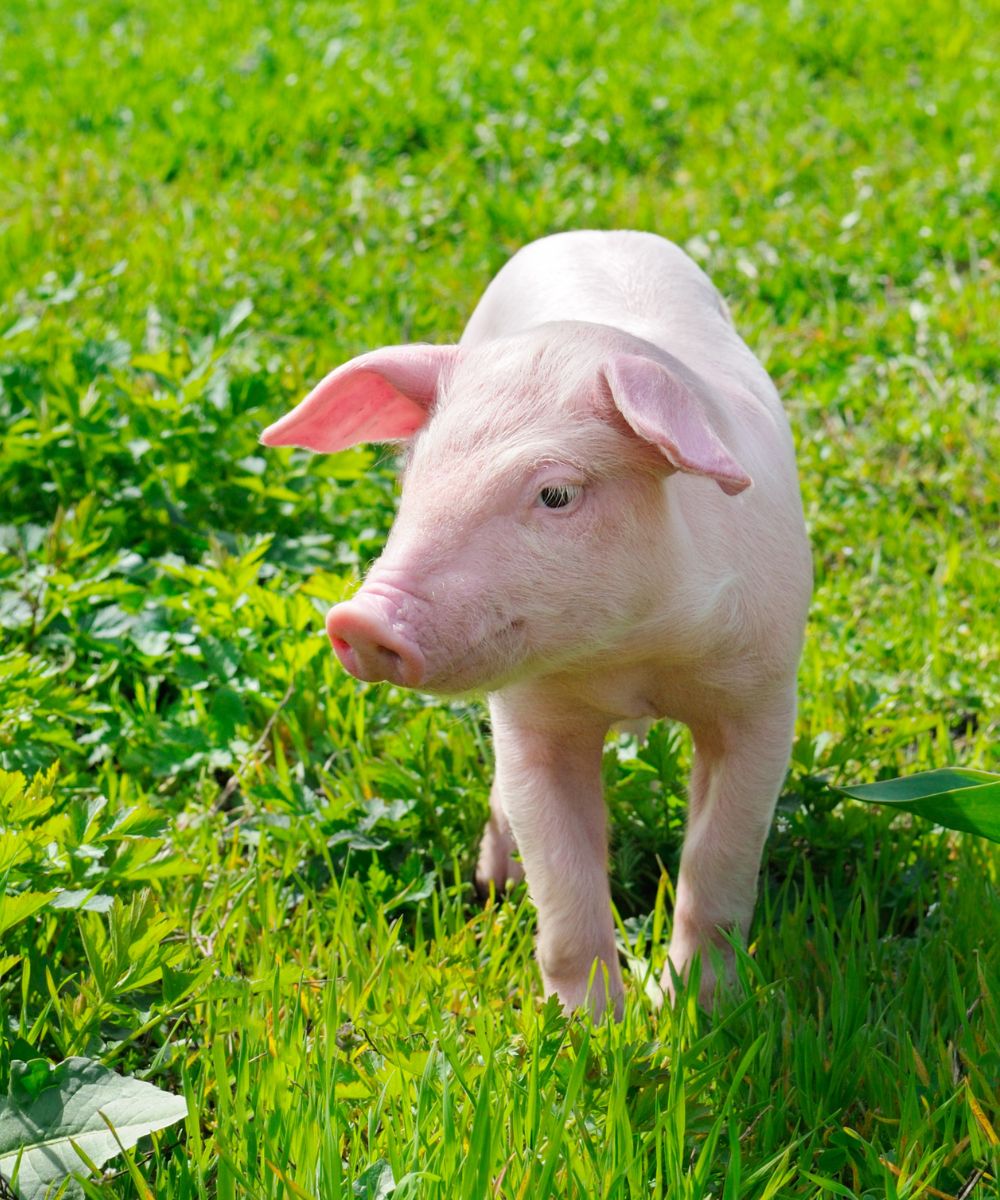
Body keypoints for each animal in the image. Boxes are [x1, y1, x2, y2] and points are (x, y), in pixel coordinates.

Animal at [262, 229, 811, 1017]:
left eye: (556, 494)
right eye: (412, 479)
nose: (361, 618)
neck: (632, 658)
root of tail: (598, 233)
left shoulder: (763, 693)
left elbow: (720, 860)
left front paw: (695, 1012)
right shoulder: (531, 717)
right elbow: (562, 881)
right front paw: (593, 1028)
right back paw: (494, 883)